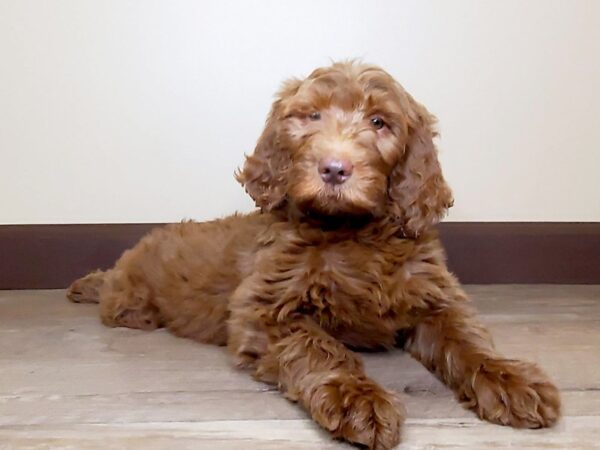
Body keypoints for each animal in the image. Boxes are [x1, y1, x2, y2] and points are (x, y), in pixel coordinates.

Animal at [68, 61, 560, 448]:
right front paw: (358, 398)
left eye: (379, 123)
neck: (350, 233)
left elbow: (468, 337)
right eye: (311, 116)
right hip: (128, 294)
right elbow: (318, 348)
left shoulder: (434, 294)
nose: (334, 169)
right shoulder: (262, 308)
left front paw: (511, 379)